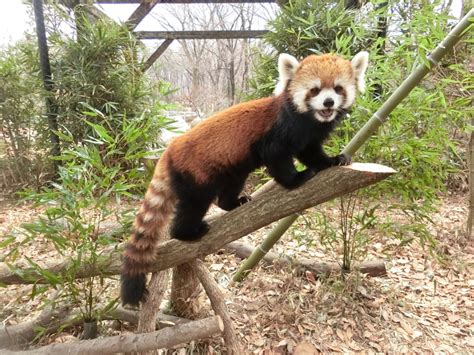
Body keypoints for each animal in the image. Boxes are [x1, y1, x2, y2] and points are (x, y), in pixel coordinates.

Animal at [120, 50, 368, 306]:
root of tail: (169, 150)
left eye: (338, 88)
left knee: (229, 188)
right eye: (315, 90)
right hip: (196, 174)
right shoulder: (278, 132)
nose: (328, 102)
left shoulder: (308, 137)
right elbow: (277, 157)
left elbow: (311, 153)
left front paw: (334, 160)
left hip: (232, 169)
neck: (310, 122)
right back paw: (188, 232)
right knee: (194, 204)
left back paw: (233, 203)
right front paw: (296, 178)